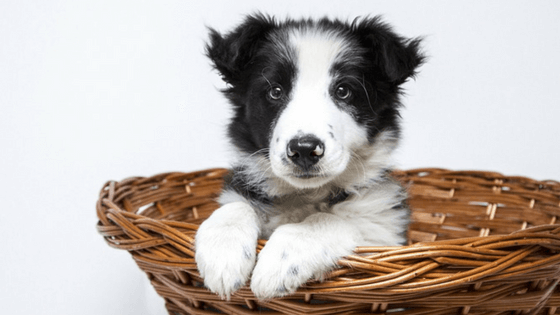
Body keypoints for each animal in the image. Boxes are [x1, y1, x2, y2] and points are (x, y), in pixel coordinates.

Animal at [195, 14, 422, 302]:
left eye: (343, 91)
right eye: (275, 91)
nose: (304, 149)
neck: (305, 195)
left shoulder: (383, 230)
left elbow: (327, 220)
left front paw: (279, 262)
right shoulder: (242, 188)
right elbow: (235, 206)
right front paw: (222, 256)